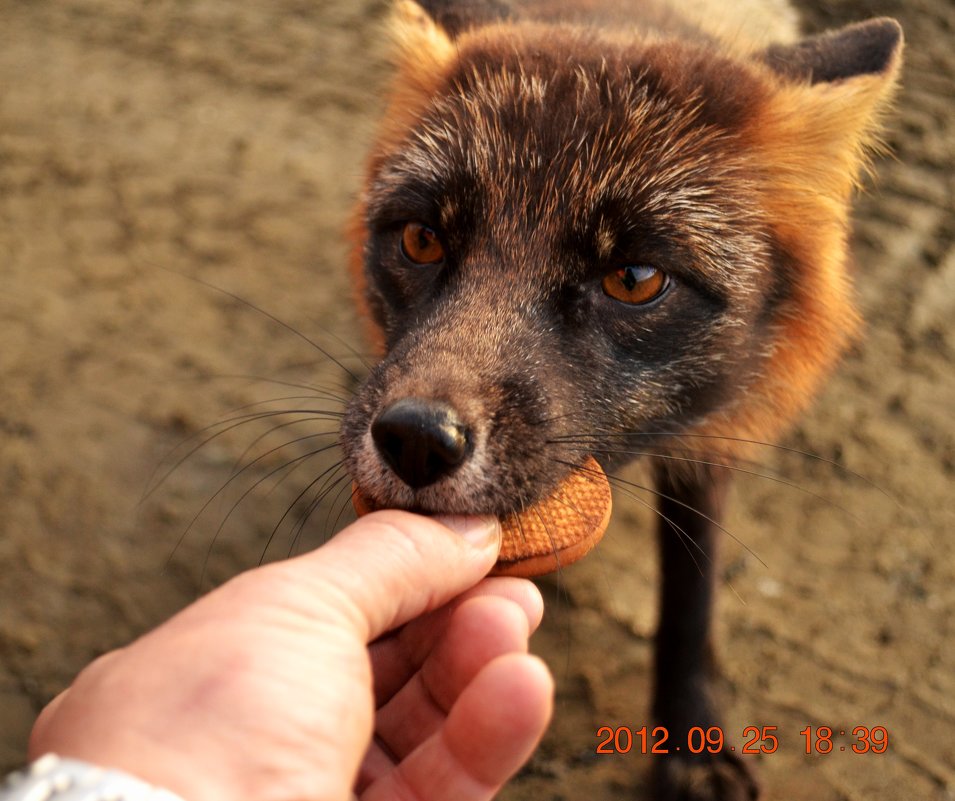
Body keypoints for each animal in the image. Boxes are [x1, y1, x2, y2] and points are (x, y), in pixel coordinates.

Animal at [340, 3, 908, 796]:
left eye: (634, 279)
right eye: (422, 240)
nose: (417, 439)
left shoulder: (714, 436)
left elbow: (692, 589)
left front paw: (693, 735)